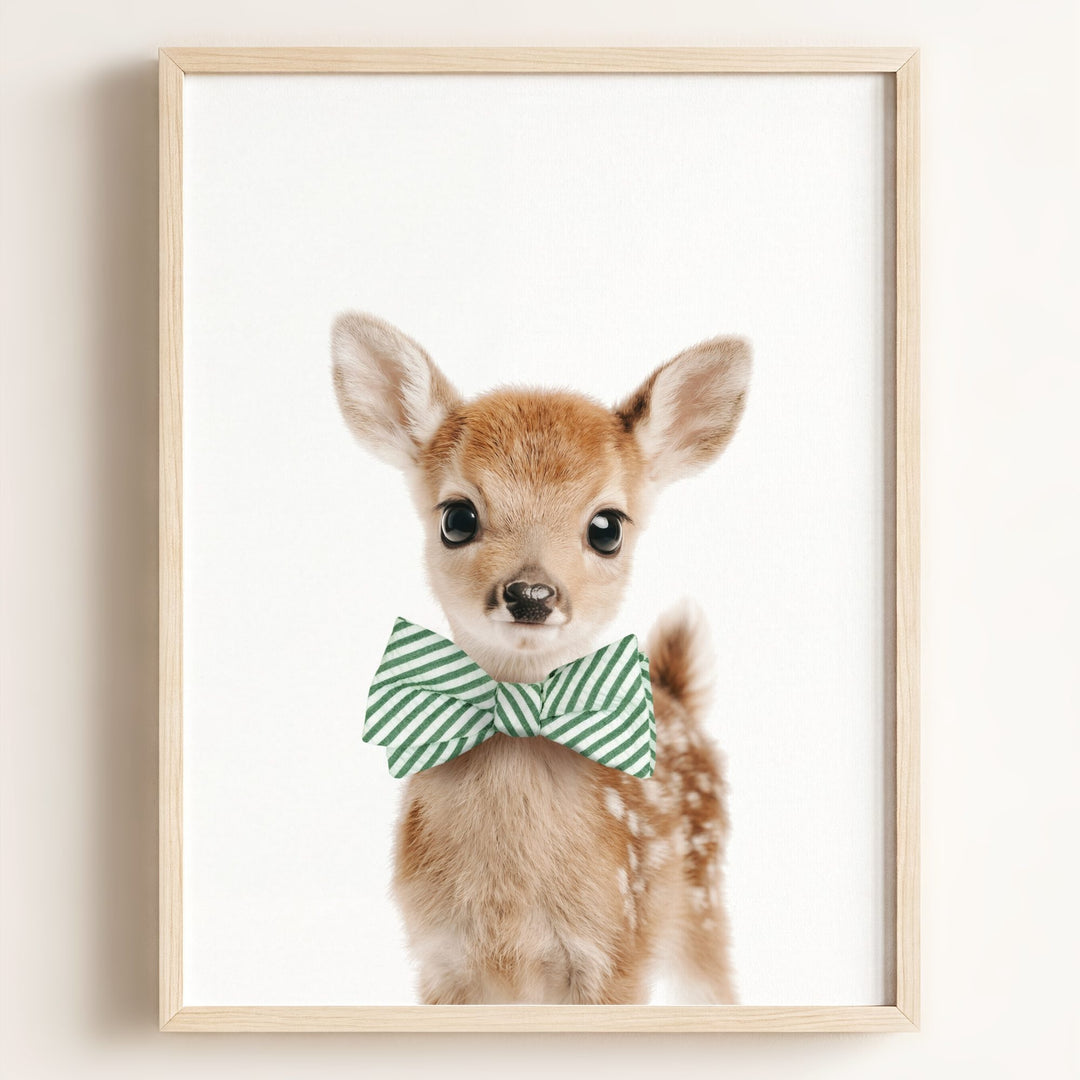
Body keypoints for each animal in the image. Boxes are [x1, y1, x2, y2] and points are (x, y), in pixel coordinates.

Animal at [332, 312, 751, 1005]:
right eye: (457, 517)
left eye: (607, 527)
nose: (531, 594)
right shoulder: (438, 961)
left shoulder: (617, 952)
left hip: (703, 904)